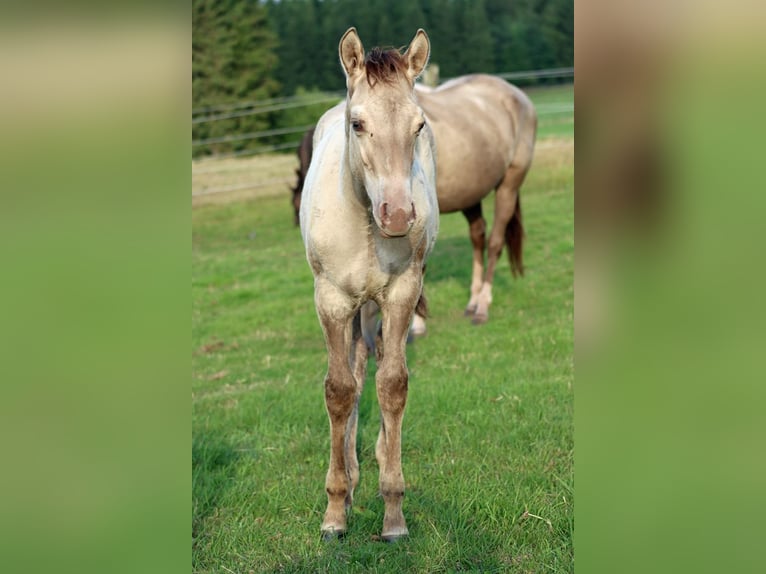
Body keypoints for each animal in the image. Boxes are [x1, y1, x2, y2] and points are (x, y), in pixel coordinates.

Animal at [293, 76, 537, 326]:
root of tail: (517, 95)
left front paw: (417, 323)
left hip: (509, 185)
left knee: (495, 242)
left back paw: (482, 306)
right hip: (471, 196)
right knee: (478, 236)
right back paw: (472, 302)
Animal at [299, 28, 439, 541]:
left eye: (419, 126)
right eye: (357, 123)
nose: (397, 216)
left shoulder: (400, 294)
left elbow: (393, 384)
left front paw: (394, 515)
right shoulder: (332, 300)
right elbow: (339, 390)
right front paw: (335, 512)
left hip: (375, 304)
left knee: (372, 365)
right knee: (357, 371)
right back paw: (353, 476)